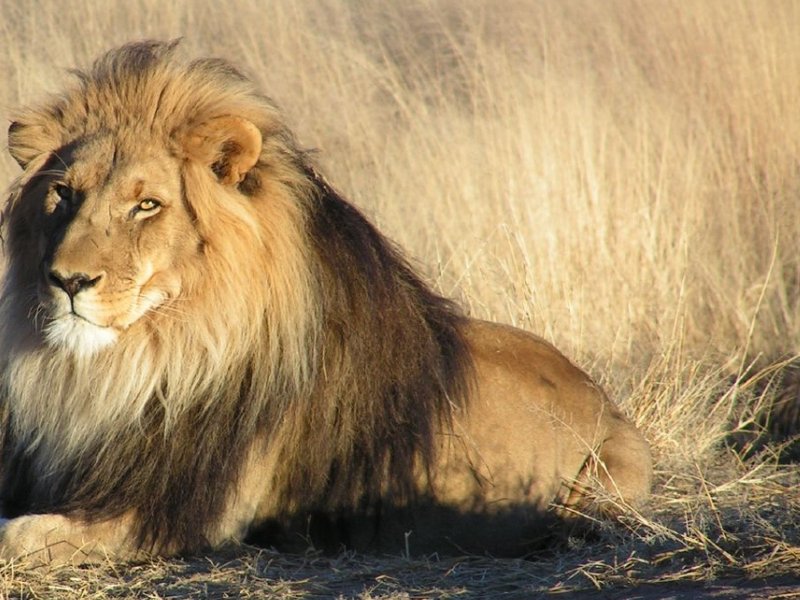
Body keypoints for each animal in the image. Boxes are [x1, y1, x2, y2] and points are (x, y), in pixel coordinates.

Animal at [0, 41, 652, 565]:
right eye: (64, 194)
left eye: (147, 205)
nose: (67, 280)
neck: (148, 358)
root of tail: (608, 403)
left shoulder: (181, 513)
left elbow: (20, 534)